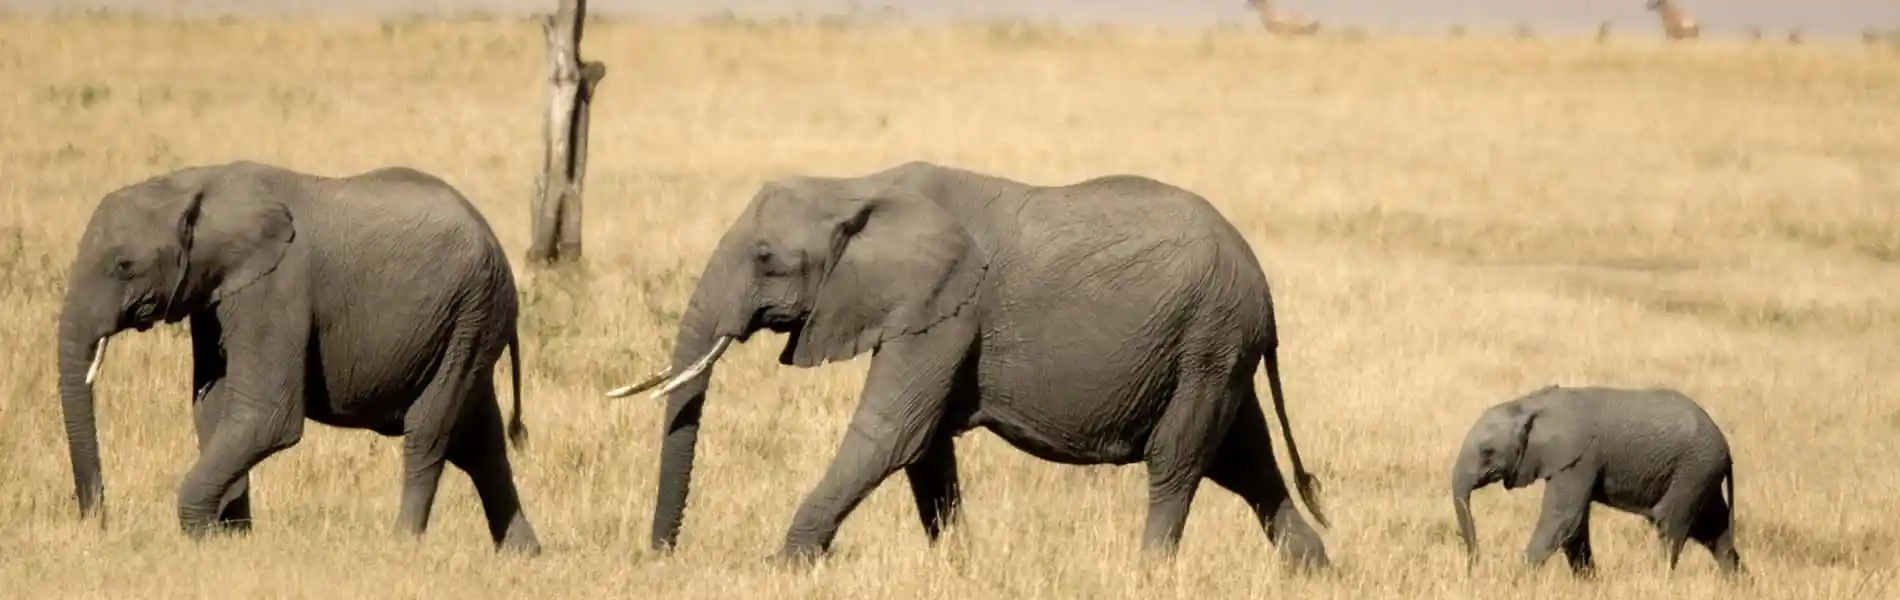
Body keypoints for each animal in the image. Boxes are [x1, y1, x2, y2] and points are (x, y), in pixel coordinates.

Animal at [55, 159, 543, 554]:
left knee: (430, 431)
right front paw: (232, 539)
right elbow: (212, 408)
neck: (197, 183)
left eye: (124, 266)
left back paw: (402, 545)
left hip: (472, 312)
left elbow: (267, 416)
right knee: (480, 442)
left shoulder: (275, 287)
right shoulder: (216, 294)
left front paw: (202, 535)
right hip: (472, 317)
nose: (99, 521)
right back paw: (522, 554)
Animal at [608, 159, 1337, 565]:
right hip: (1217, 347)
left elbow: (891, 435)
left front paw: (780, 565)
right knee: (1247, 466)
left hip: (1209, 339)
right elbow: (926, 453)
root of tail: (1264, 288)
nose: (661, 558)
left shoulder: (946, 311)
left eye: (765, 259)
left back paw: (1148, 576)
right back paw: (1315, 570)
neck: (858, 185)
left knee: (1178, 466)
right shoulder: (928, 315)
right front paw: (959, 568)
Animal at [1444, 383, 1740, 577]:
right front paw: (1589, 583)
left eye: (1487, 452)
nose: (1474, 565)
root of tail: (1727, 448)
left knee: (1670, 526)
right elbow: (1574, 527)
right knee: (1713, 531)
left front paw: (1516, 579)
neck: (1531, 404)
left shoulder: (1579, 458)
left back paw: (1657, 578)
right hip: (1700, 474)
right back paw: (1737, 581)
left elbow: (1564, 517)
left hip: (1693, 471)